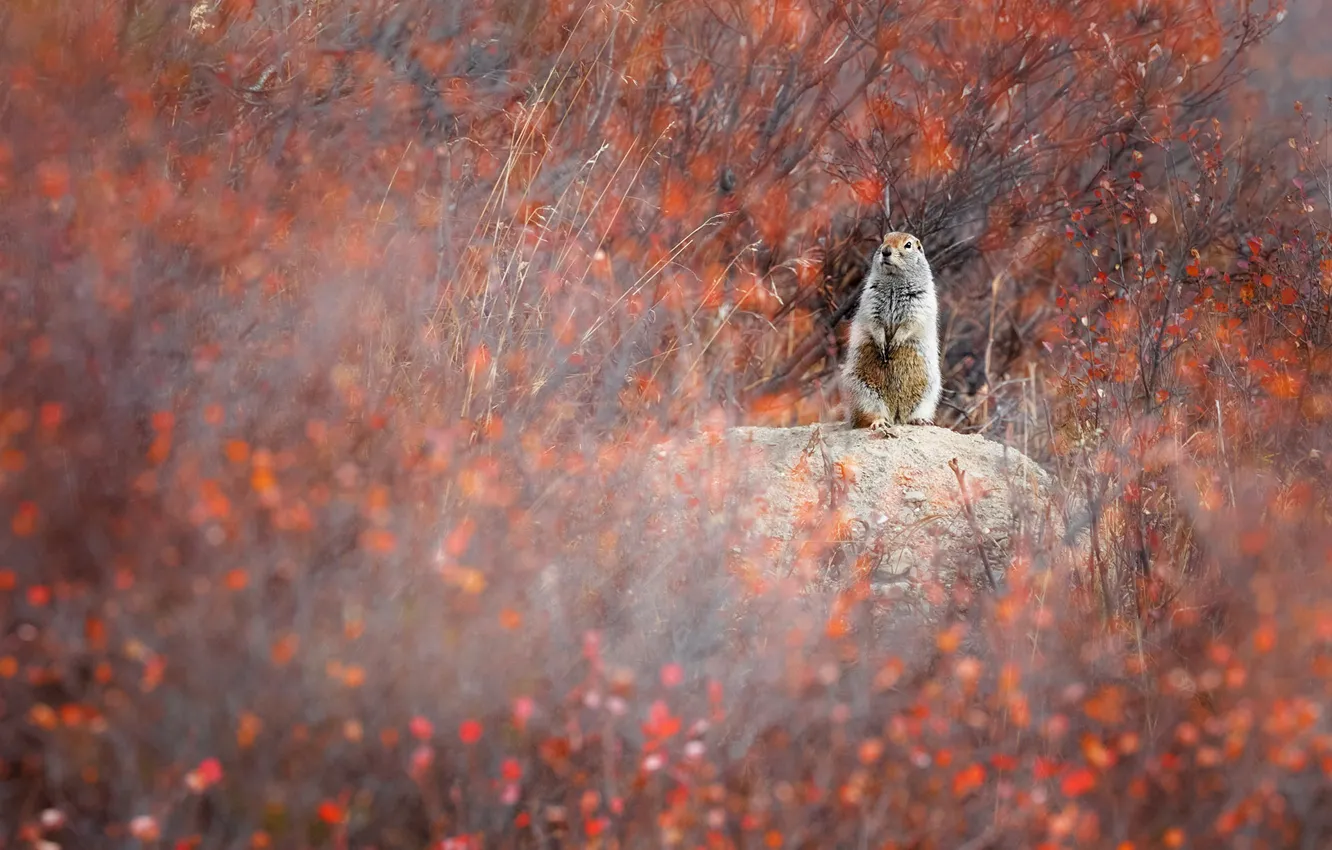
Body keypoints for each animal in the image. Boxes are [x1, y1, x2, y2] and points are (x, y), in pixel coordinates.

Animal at [836, 231, 943, 431]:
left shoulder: (919, 305)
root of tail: (895, 413)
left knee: (912, 414)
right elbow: (875, 323)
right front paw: (882, 343)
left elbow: (910, 323)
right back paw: (879, 422)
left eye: (908, 245)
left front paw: (895, 343)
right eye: (883, 239)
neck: (894, 280)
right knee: (867, 416)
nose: (885, 251)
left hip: (928, 394)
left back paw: (920, 420)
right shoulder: (870, 300)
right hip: (863, 393)